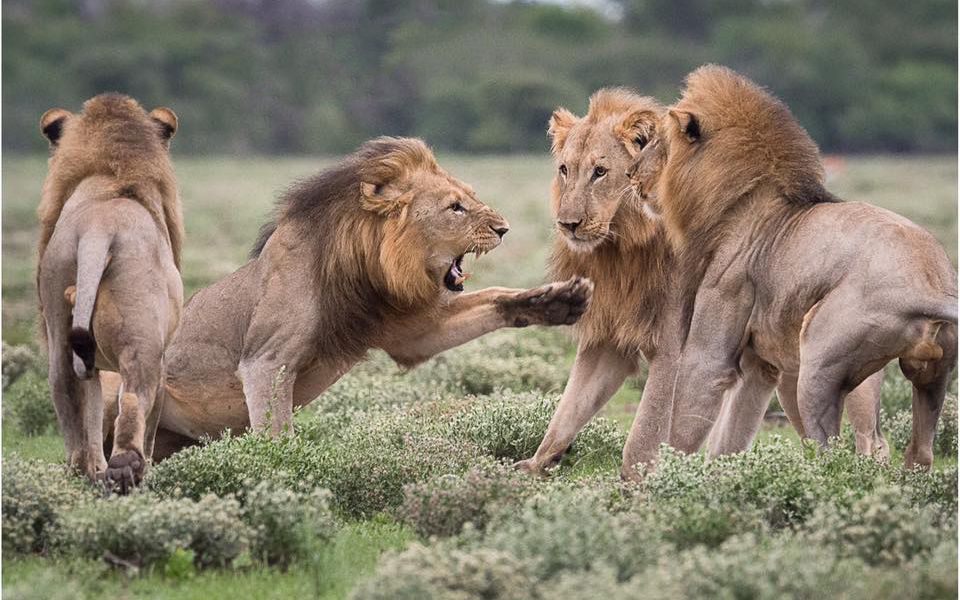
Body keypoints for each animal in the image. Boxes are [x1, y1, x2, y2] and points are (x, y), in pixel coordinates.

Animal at [36, 91, 183, 490]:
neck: (109, 181)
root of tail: (98, 226)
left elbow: (91, 410)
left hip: (59, 322)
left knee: (70, 399)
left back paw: (88, 475)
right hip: (143, 330)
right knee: (135, 396)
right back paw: (128, 469)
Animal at [516, 89, 884, 480]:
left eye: (600, 172)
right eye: (564, 170)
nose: (568, 224)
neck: (624, 248)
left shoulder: (674, 348)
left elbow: (644, 434)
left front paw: (641, 484)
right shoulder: (608, 340)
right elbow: (569, 408)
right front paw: (534, 465)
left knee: (871, 440)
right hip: (791, 380)